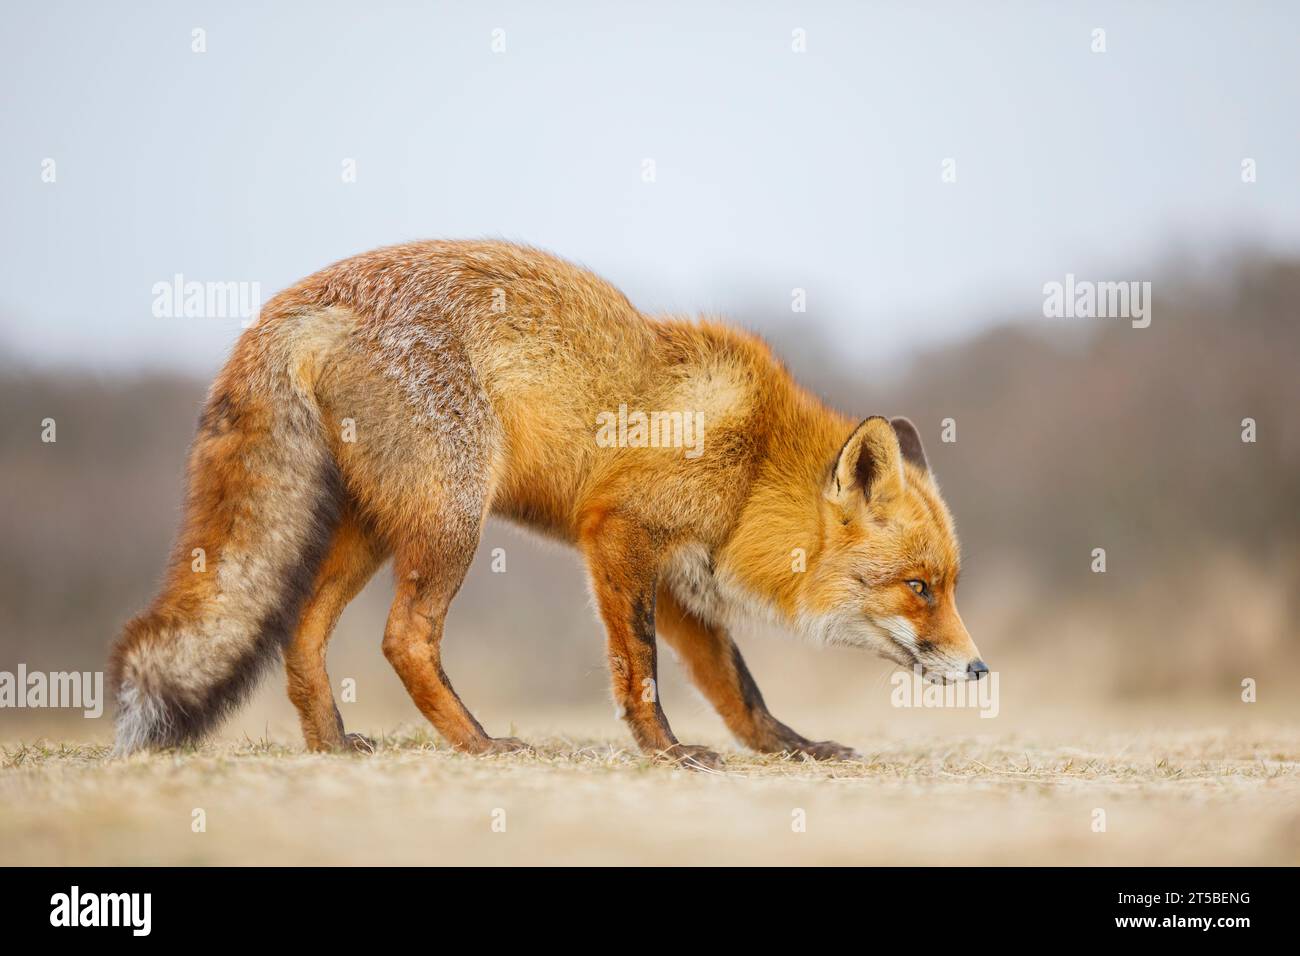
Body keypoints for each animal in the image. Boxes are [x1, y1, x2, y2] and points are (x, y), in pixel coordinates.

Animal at [111, 240, 982, 770]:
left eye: (949, 585)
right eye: (919, 587)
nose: (979, 668)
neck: (754, 462)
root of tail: (305, 297)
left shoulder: (680, 579)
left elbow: (740, 690)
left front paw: (789, 748)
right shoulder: (621, 534)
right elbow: (640, 672)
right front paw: (666, 754)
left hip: (377, 528)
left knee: (302, 630)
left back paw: (331, 743)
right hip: (452, 521)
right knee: (404, 638)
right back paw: (480, 744)